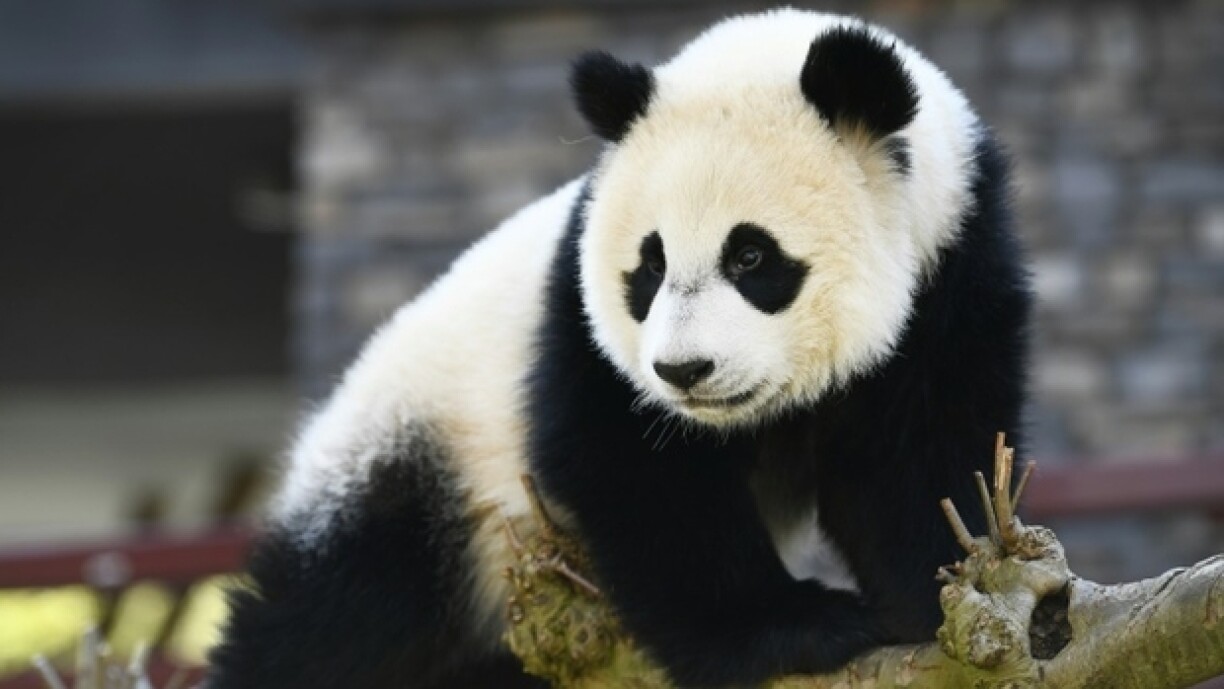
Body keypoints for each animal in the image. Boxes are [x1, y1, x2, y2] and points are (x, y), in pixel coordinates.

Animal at [208, 8, 1029, 689]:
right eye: (650, 265)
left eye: (751, 258)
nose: (683, 371)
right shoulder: (578, 324)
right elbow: (634, 470)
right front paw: (800, 627)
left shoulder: (954, 268)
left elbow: (926, 452)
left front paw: (944, 601)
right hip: (420, 463)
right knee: (340, 622)